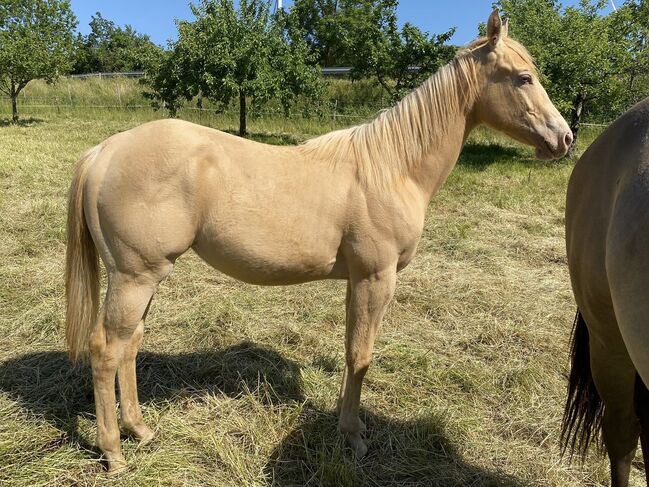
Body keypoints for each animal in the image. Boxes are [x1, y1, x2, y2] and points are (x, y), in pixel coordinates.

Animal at [67, 10, 572, 472]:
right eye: (524, 77)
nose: (565, 138)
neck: (392, 168)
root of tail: (104, 152)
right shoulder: (376, 278)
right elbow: (361, 353)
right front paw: (353, 438)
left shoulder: (357, 281)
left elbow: (352, 351)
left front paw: (353, 426)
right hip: (135, 277)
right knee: (106, 350)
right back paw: (114, 453)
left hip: (143, 278)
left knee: (130, 344)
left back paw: (140, 430)